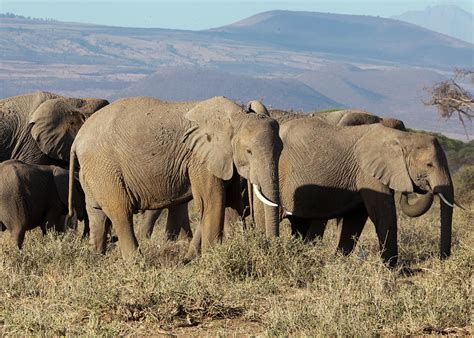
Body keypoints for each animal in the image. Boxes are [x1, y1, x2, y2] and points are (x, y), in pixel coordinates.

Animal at [68, 96, 284, 260]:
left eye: (281, 151)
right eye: (249, 151)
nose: (271, 246)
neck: (235, 116)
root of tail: (77, 139)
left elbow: (230, 203)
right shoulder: (199, 158)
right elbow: (213, 201)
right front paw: (212, 258)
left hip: (93, 171)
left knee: (97, 213)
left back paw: (97, 259)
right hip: (104, 166)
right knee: (121, 210)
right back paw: (137, 263)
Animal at [252, 109, 456, 266]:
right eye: (429, 165)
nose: (442, 259)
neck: (401, 138)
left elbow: (357, 218)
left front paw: (338, 262)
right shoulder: (368, 172)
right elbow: (382, 214)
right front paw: (392, 268)